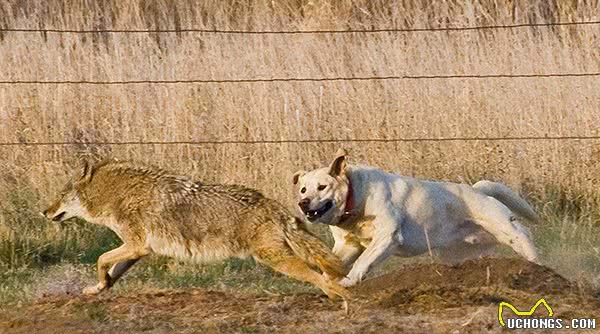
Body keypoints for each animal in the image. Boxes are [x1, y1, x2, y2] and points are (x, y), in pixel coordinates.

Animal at [292, 149, 540, 288]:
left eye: (322, 187)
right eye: (303, 189)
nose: (302, 203)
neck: (355, 200)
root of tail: (478, 189)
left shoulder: (387, 236)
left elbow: (363, 261)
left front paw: (348, 282)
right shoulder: (348, 245)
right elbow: (330, 264)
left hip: (506, 229)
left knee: (525, 237)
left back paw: (537, 269)